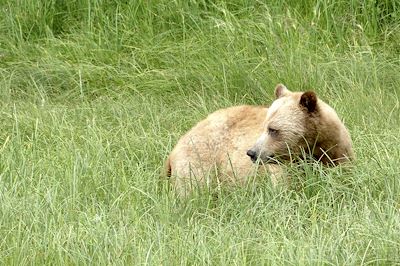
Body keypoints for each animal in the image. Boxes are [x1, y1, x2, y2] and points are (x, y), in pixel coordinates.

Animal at [166, 84, 354, 195]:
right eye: (264, 127)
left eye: (273, 130)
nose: (252, 152)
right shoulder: (284, 168)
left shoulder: (338, 153)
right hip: (201, 158)